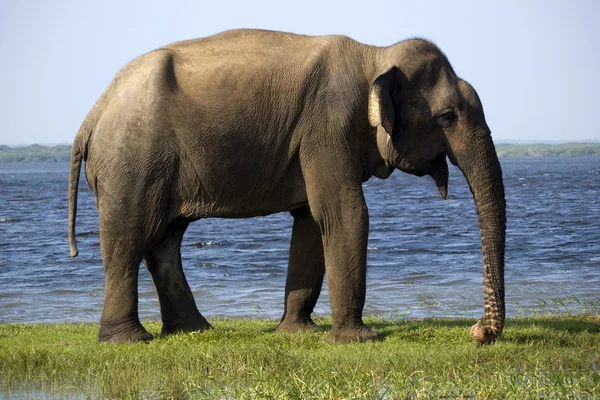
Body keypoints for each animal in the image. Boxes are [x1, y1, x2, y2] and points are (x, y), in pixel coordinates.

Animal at [67, 29, 506, 346]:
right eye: (447, 116)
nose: (480, 331)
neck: (375, 55)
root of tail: (91, 116)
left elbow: (311, 220)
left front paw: (299, 333)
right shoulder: (327, 126)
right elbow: (345, 213)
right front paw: (359, 339)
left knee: (165, 240)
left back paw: (194, 330)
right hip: (132, 161)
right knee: (130, 237)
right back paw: (128, 341)